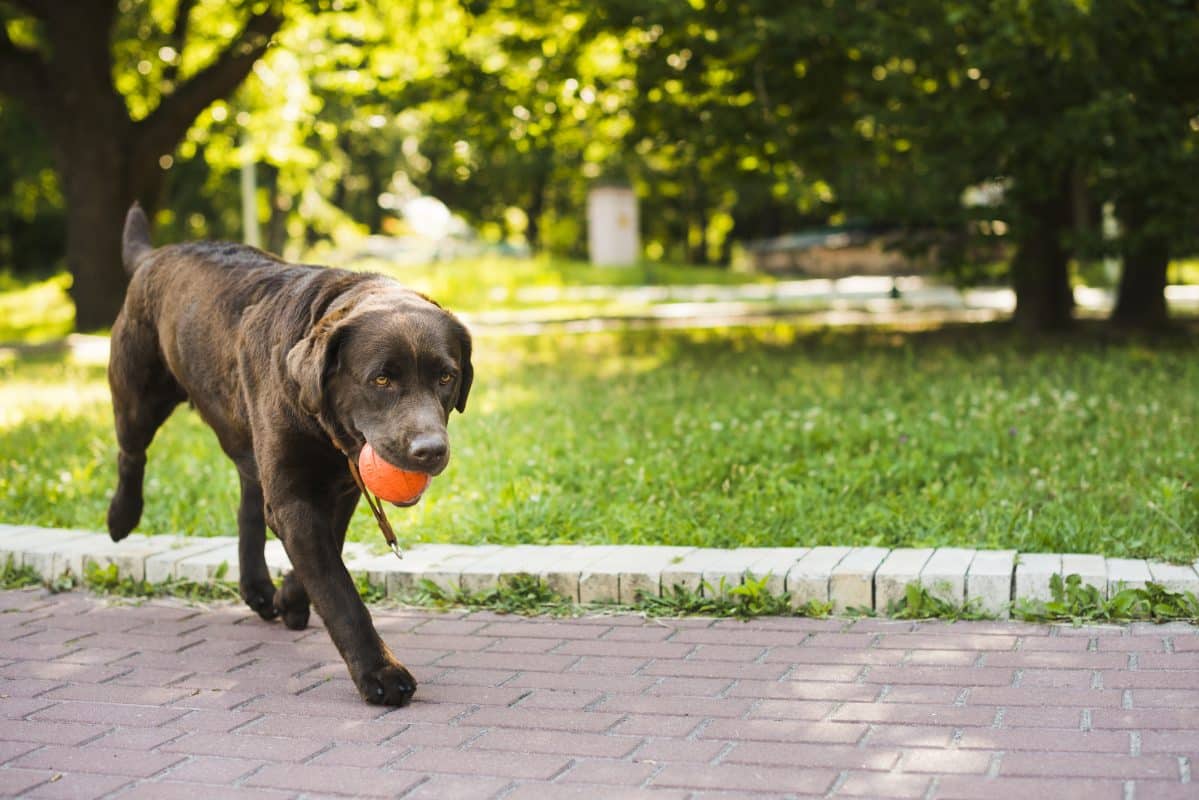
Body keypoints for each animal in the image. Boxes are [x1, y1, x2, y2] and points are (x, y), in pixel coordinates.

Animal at [106, 203, 472, 705]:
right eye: (381, 379)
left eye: (445, 377)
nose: (430, 450)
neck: (323, 422)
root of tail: (154, 255)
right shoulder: (295, 495)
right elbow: (339, 591)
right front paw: (380, 672)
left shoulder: (339, 489)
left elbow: (323, 555)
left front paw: (290, 599)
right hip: (139, 393)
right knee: (131, 454)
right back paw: (121, 517)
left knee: (248, 499)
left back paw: (259, 588)